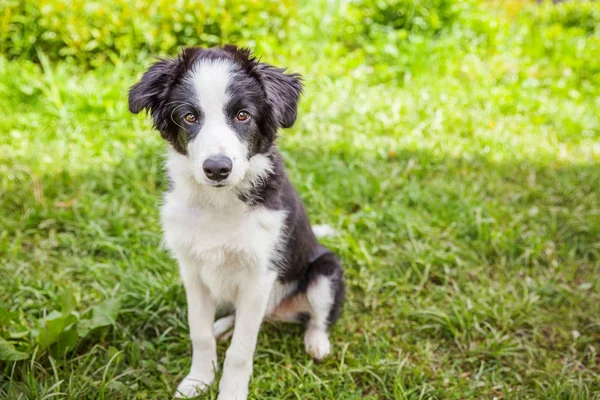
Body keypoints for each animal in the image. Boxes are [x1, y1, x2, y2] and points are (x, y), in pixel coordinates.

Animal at [127, 45, 342, 398]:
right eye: (190, 117)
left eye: (243, 115)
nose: (217, 168)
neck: (219, 204)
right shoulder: (192, 272)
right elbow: (199, 333)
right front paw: (198, 380)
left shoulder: (259, 277)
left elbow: (241, 351)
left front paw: (230, 390)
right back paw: (222, 327)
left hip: (326, 270)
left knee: (317, 317)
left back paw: (316, 343)